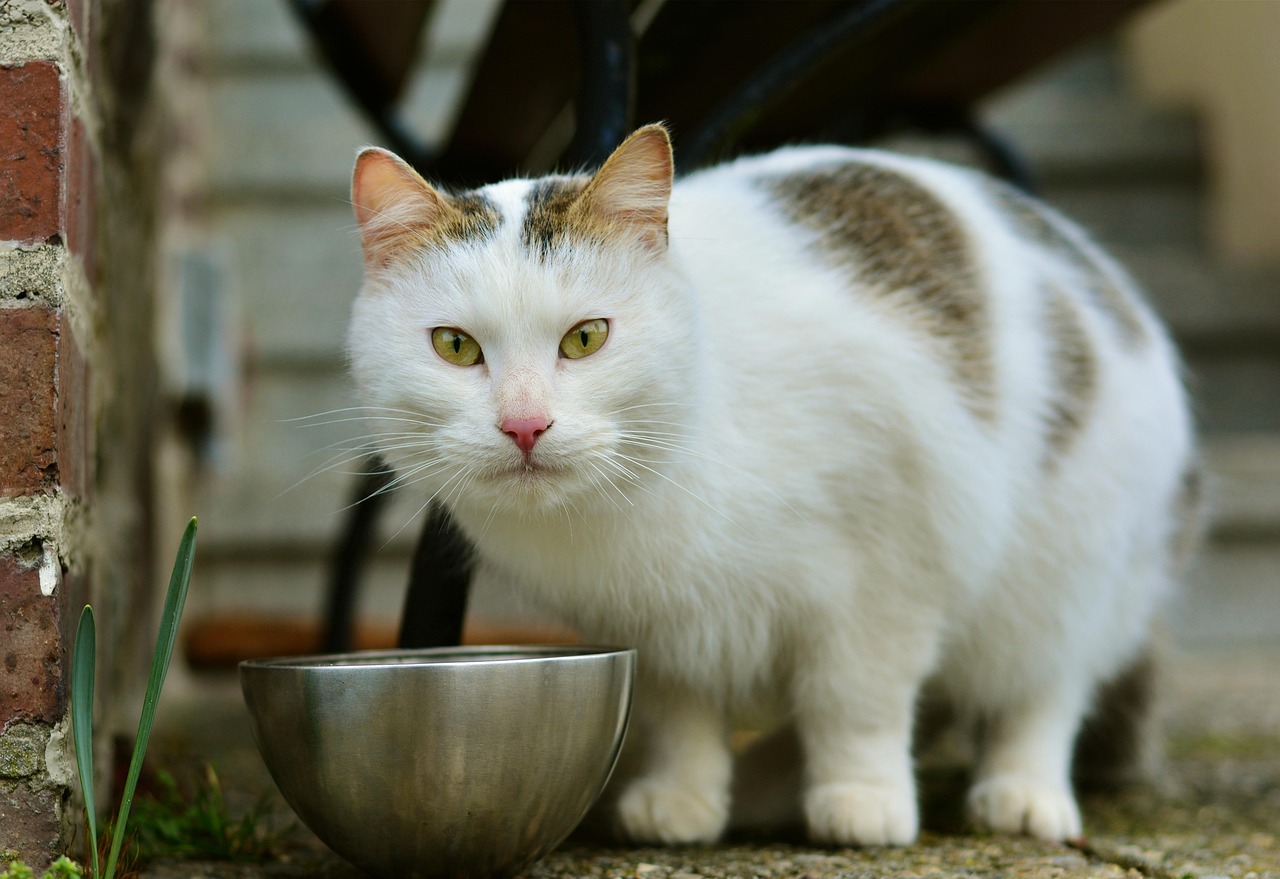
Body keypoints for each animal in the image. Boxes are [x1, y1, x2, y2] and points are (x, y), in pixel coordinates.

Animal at [343, 124, 1198, 844]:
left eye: (586, 338)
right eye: (456, 346)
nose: (525, 425)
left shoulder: (890, 568)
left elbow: (857, 700)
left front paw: (863, 799)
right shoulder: (653, 624)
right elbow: (680, 714)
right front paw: (682, 799)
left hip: (1066, 565)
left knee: (1044, 687)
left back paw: (1022, 793)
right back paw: (764, 785)